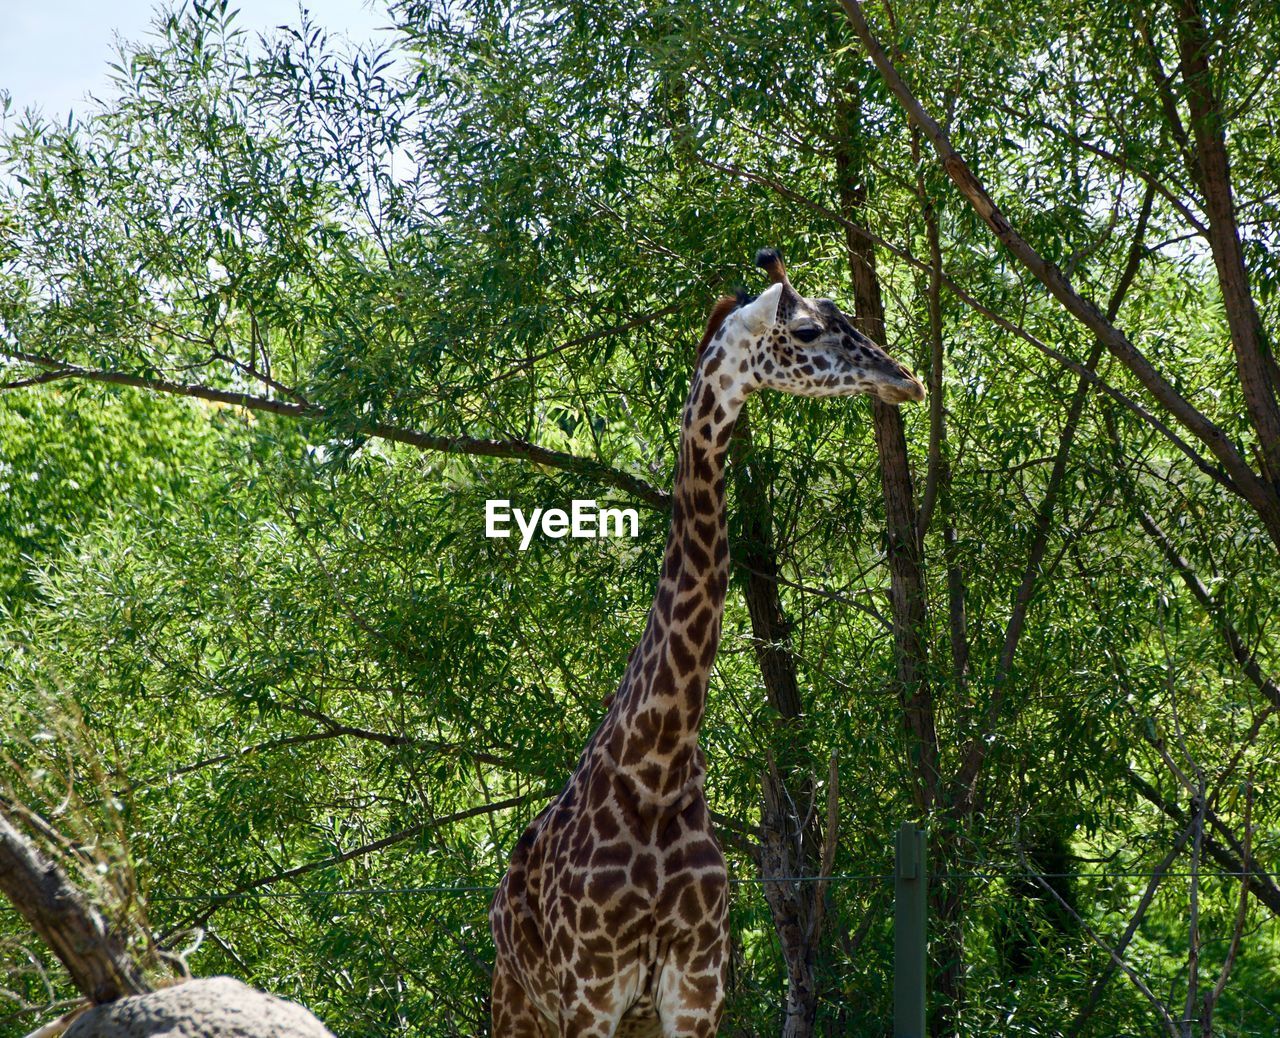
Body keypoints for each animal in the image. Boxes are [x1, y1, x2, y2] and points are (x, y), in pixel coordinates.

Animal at [486, 247, 921, 1034]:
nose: (906, 378)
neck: (655, 770)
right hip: (521, 1007)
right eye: (808, 331)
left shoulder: (696, 989)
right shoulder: (592, 992)